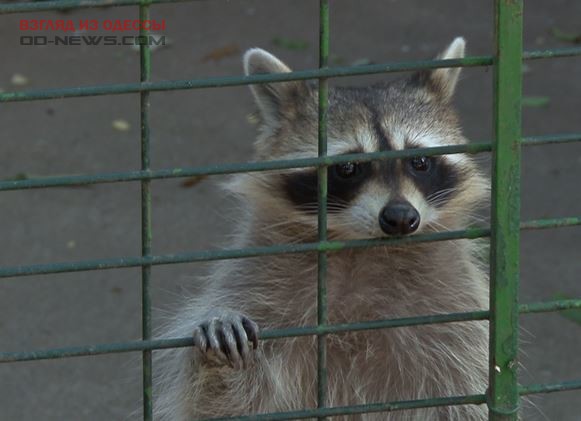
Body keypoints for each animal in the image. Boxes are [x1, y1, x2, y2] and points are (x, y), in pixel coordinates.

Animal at [153, 37, 490, 418]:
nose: (401, 217)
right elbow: (221, 404)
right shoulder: (256, 286)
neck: (360, 249)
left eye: (418, 161)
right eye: (348, 168)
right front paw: (218, 353)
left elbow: (463, 397)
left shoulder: (457, 314)